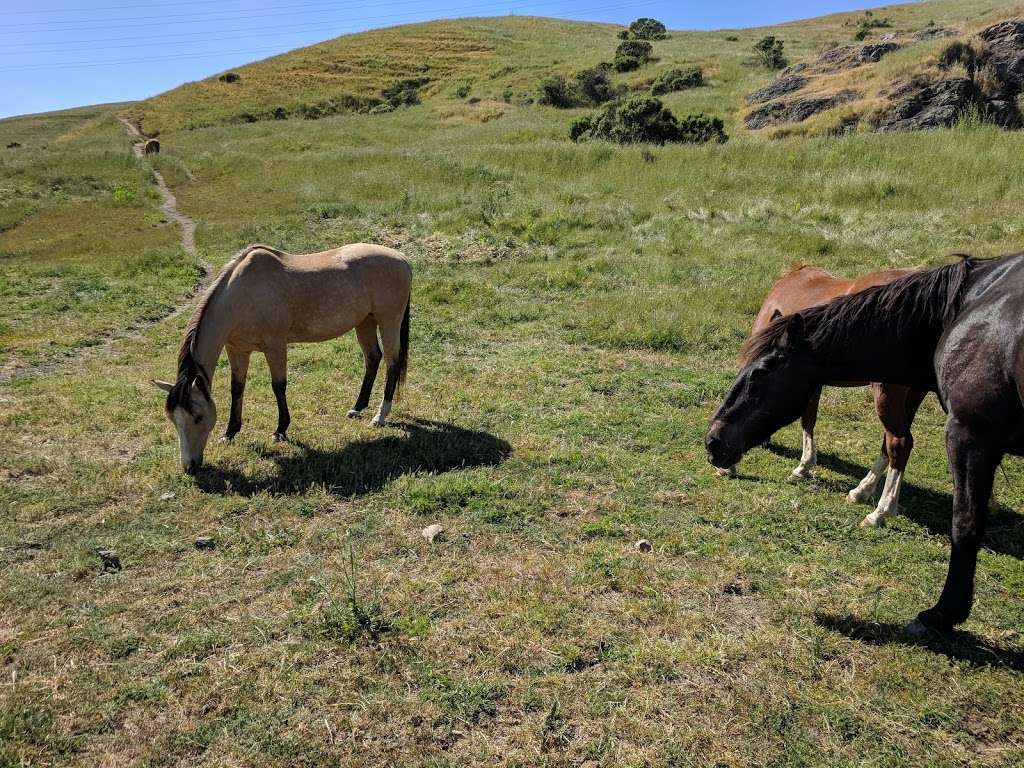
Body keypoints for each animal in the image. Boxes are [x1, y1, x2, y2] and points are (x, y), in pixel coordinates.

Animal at [153, 244, 409, 475]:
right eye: (172, 419)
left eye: (197, 417)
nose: (189, 467)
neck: (241, 295)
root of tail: (403, 259)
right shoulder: (237, 350)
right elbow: (237, 388)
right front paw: (230, 433)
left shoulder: (275, 347)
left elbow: (278, 386)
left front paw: (280, 430)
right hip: (365, 321)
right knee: (373, 359)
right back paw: (357, 408)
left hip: (388, 320)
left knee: (392, 363)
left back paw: (380, 416)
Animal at [720, 264, 929, 528]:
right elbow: (809, 418)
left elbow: (806, 419)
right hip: (912, 395)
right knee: (891, 442)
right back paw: (861, 491)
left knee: (899, 443)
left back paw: (880, 512)